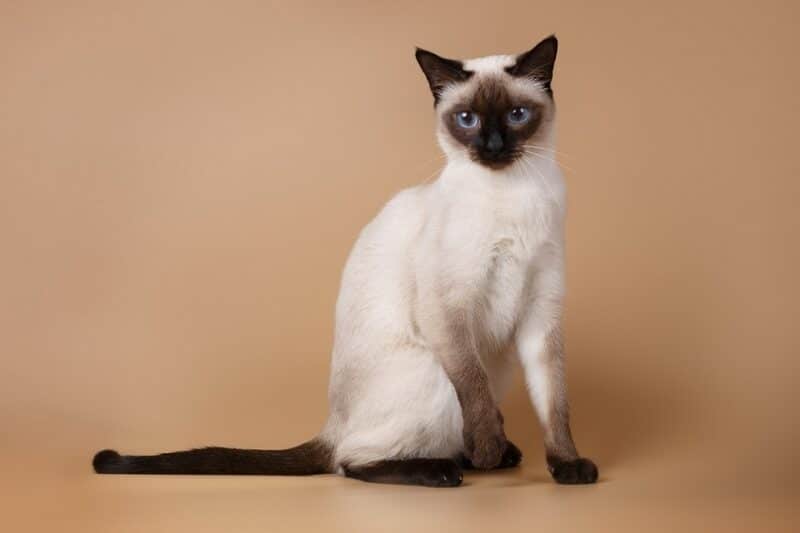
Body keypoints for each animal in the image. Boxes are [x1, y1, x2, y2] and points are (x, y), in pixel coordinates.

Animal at [94, 34, 596, 486]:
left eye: (516, 115)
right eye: (467, 119)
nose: (491, 148)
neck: (513, 193)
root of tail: (331, 425)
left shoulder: (541, 314)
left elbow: (555, 404)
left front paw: (567, 467)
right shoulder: (448, 307)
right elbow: (474, 389)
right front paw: (489, 448)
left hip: (499, 368)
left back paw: (487, 455)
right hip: (433, 377)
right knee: (351, 462)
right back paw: (448, 467)